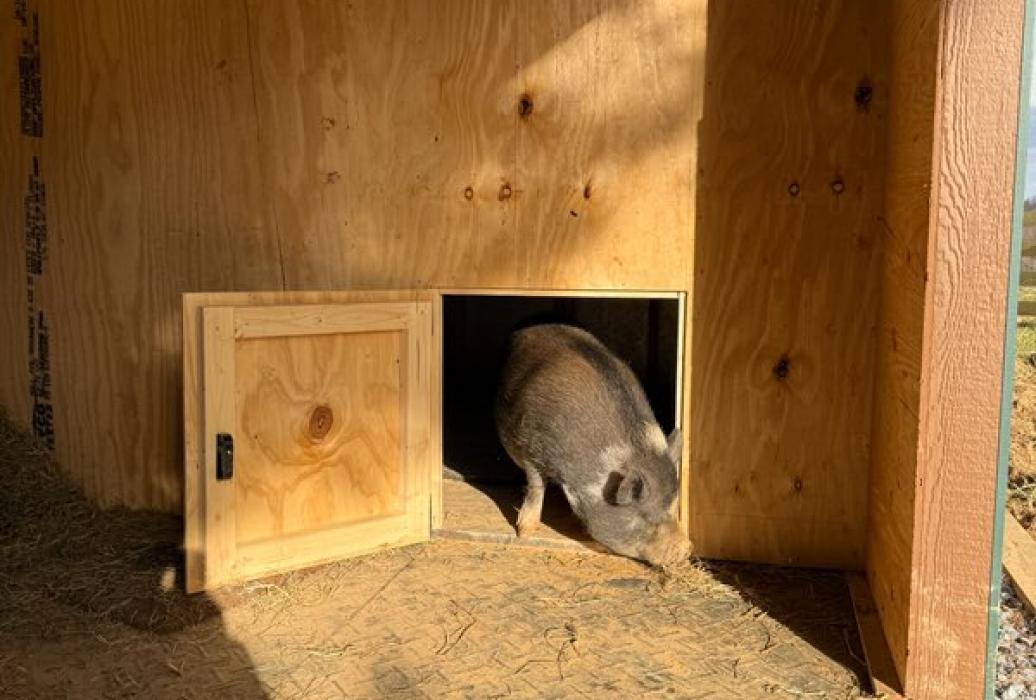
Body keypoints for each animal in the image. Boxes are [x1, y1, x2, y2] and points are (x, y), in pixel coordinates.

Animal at [494, 323, 691, 567]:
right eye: (648, 517)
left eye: (674, 506)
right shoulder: (529, 445)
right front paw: (524, 533)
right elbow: (536, 486)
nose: (687, 549)